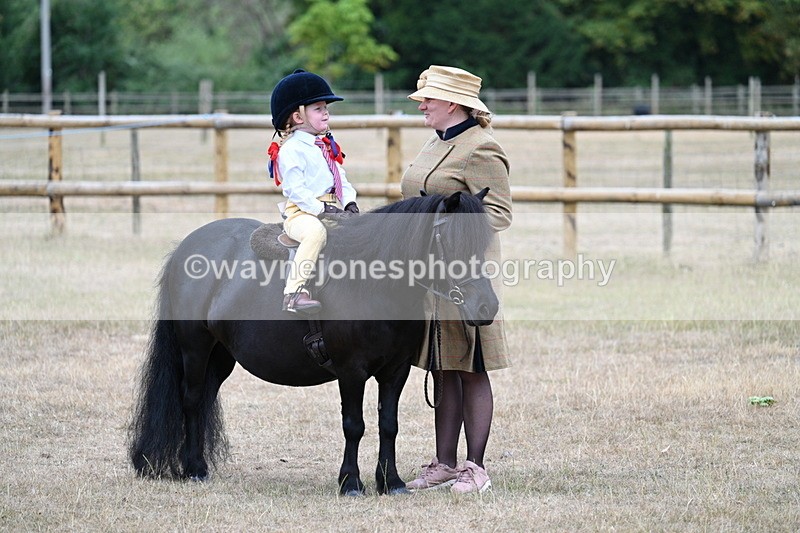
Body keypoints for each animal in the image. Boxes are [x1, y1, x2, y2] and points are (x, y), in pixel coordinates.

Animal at [127, 189, 499, 496]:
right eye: (453, 241)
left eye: (483, 244)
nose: (487, 307)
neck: (373, 283)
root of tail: (186, 248)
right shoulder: (351, 371)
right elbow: (354, 425)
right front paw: (351, 483)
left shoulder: (396, 371)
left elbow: (388, 425)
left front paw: (390, 482)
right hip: (195, 348)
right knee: (191, 400)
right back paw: (194, 469)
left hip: (220, 358)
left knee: (204, 397)